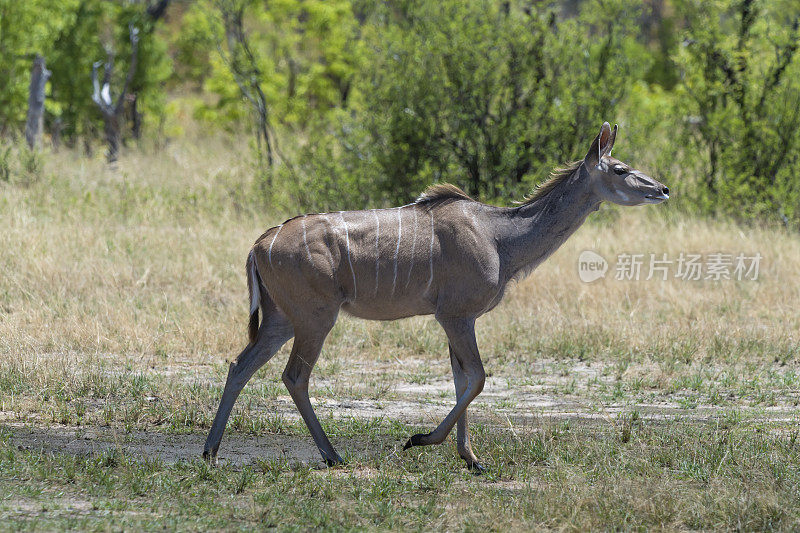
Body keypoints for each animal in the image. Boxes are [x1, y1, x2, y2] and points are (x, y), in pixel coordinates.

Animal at [205, 122, 668, 468]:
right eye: (621, 168)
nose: (663, 189)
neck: (500, 236)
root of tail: (259, 245)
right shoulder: (456, 315)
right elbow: (477, 377)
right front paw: (419, 439)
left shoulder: (455, 319)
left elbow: (461, 379)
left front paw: (472, 458)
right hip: (316, 317)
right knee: (294, 376)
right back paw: (332, 455)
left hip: (281, 319)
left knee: (240, 365)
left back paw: (211, 451)